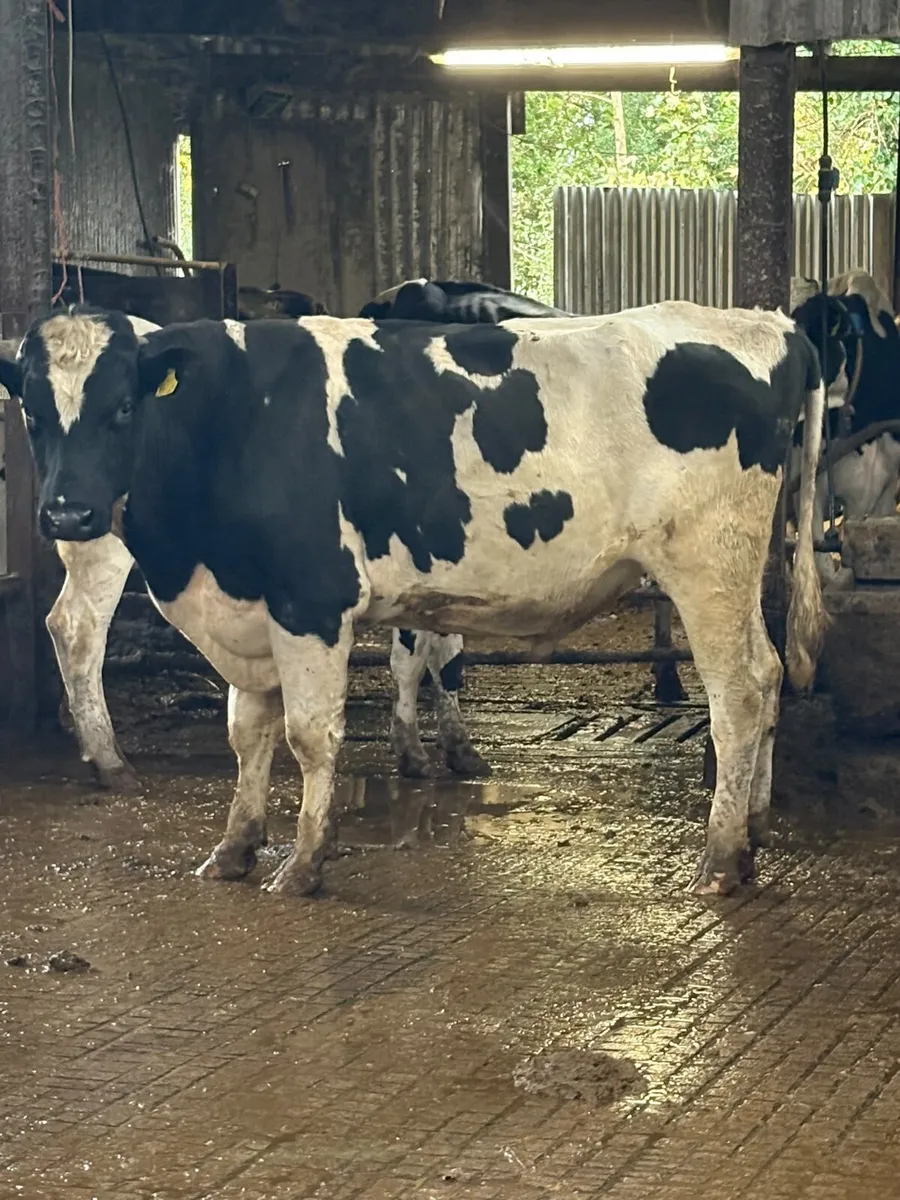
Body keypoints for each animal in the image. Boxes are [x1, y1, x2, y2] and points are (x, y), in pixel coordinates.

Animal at [0, 299, 826, 897]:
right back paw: (752, 826)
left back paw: (720, 857)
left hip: (707, 567)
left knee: (738, 692)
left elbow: (310, 736)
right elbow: (248, 735)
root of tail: (767, 323)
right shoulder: (245, 611)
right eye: (33, 412)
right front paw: (234, 849)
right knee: (768, 674)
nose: (68, 513)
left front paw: (303, 863)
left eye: (123, 408)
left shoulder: (312, 599)